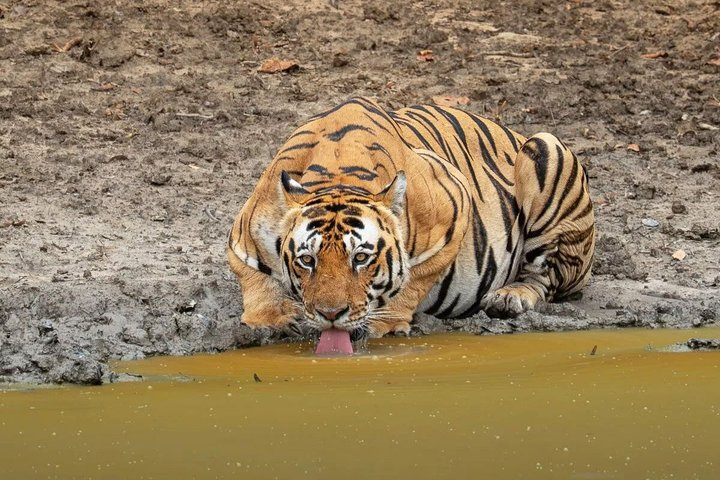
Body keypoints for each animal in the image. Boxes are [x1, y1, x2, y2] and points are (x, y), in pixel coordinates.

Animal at [228, 97, 595, 341]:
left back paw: (509, 297)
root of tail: (516, 131)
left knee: (545, 278)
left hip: (546, 148)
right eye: (307, 260)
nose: (330, 315)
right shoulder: (241, 236)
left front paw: (385, 322)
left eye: (360, 258)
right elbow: (253, 277)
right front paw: (270, 319)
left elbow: (414, 277)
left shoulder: (455, 205)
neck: (336, 174)